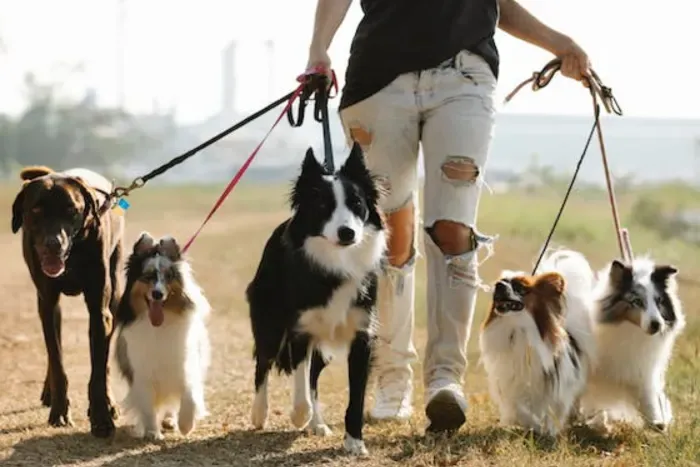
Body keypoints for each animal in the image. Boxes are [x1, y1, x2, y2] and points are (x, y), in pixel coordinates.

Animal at [11, 165, 126, 438]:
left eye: (71, 210)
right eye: (36, 210)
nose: (54, 244)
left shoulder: (99, 310)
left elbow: (99, 369)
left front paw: (102, 417)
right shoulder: (47, 302)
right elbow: (57, 361)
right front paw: (60, 411)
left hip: (115, 292)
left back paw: (110, 401)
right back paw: (49, 391)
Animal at [115, 232, 211, 440]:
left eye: (168, 277)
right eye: (148, 276)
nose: (157, 294)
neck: (159, 326)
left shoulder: (185, 366)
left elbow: (190, 396)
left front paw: (186, 425)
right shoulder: (142, 373)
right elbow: (148, 406)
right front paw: (152, 433)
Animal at [246, 144, 386, 458]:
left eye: (357, 203)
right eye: (322, 206)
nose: (347, 232)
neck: (336, 262)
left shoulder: (362, 335)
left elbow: (355, 396)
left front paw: (354, 443)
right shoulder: (301, 330)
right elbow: (299, 387)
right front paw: (299, 416)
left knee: (313, 375)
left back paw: (318, 423)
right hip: (270, 321)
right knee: (263, 363)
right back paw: (260, 414)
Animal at [482, 250, 596, 436]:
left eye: (520, 288)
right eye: (502, 281)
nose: (498, 285)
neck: (518, 330)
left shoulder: (556, 385)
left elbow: (553, 410)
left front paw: (549, 431)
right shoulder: (512, 381)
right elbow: (520, 409)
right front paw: (532, 424)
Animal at [580, 258, 684, 434]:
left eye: (659, 301)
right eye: (637, 301)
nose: (657, 325)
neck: (630, 330)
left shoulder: (641, 372)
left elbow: (649, 401)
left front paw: (658, 423)